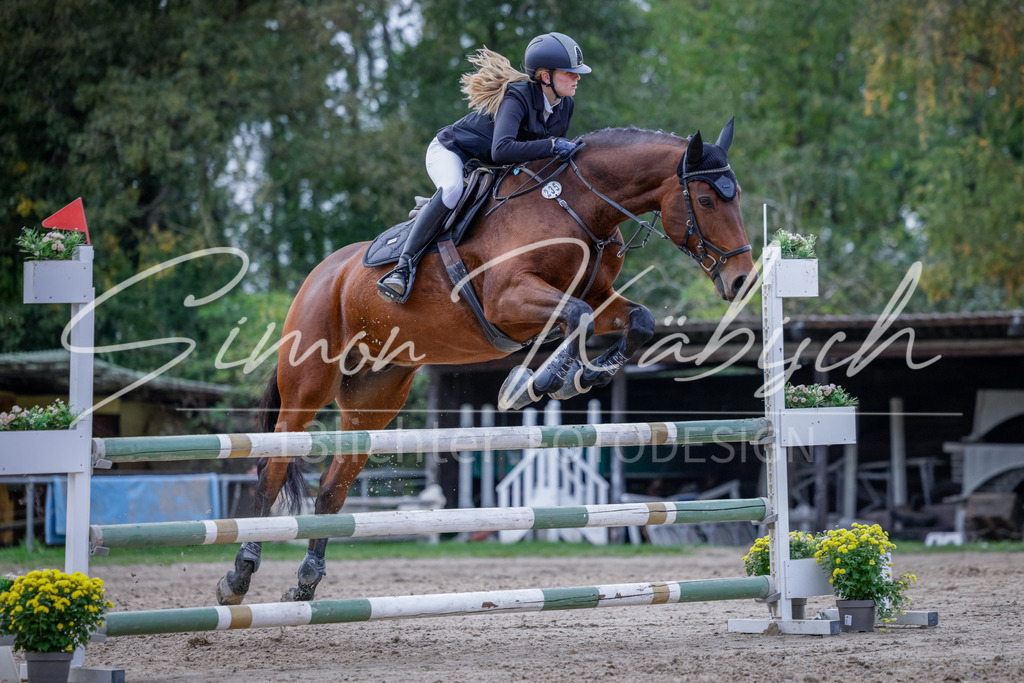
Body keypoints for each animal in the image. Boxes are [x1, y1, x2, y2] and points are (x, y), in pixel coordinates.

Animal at [216, 118, 757, 605]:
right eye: (706, 200)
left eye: (738, 200)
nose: (741, 281)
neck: (579, 207)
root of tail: (321, 274)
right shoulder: (510, 298)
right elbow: (576, 318)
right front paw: (535, 383)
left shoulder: (601, 298)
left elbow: (635, 320)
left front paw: (580, 377)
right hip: (309, 382)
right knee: (272, 468)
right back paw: (239, 574)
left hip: (375, 397)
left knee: (332, 489)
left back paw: (306, 582)